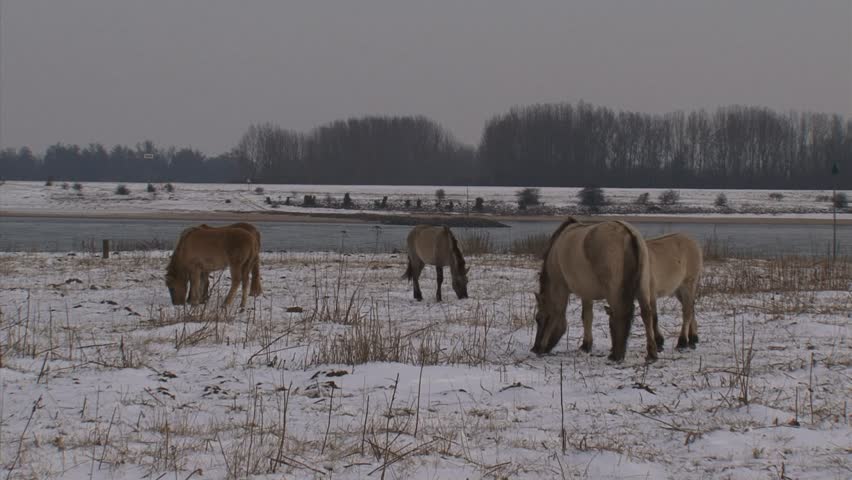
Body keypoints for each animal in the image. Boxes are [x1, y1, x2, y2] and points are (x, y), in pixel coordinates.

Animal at [531, 218, 658, 362]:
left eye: (539, 318)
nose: (534, 348)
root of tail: (629, 234)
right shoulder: (586, 291)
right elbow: (587, 316)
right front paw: (586, 345)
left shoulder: (560, 286)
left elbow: (557, 312)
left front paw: (543, 345)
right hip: (643, 286)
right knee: (646, 314)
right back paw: (651, 352)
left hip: (614, 291)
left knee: (619, 313)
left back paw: (617, 354)